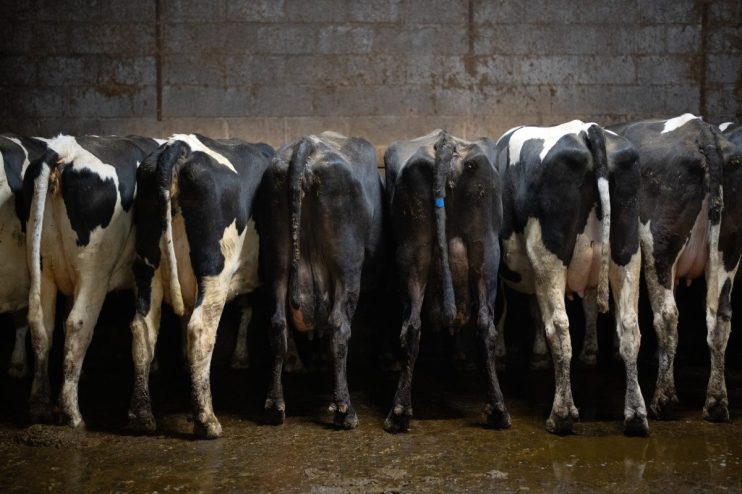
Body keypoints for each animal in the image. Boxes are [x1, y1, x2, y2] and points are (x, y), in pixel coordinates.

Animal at [24, 134, 162, 428]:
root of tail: (64, 148)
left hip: (42, 264)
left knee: (41, 325)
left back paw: (40, 405)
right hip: (94, 271)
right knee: (78, 324)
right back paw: (73, 414)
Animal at [127, 134, 272, 438]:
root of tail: (177, 146)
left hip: (146, 265)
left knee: (143, 329)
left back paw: (141, 416)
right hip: (214, 267)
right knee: (201, 329)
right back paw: (207, 420)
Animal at [256, 131, 384, 430]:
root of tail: (308, 144)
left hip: (277, 259)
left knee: (278, 324)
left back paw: (275, 406)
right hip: (347, 263)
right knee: (339, 327)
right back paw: (344, 411)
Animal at [495, 120, 647, 436]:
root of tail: (588, 129)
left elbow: (505, 312)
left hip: (548, 252)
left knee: (560, 327)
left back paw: (561, 414)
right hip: (626, 248)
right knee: (629, 327)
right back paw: (636, 415)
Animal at [611, 114, 742, 422]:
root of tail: (701, 130)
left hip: (660, 245)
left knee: (667, 316)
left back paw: (664, 399)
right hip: (728, 247)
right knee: (719, 316)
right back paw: (716, 403)